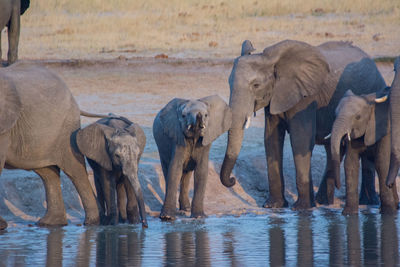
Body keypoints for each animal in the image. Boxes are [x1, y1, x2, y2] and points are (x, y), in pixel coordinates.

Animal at [219, 40, 388, 209]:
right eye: (228, 83)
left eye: (256, 85)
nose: (232, 180)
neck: (273, 61)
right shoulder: (275, 97)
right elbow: (271, 140)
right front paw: (273, 206)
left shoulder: (306, 98)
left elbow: (301, 140)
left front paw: (302, 208)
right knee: (333, 150)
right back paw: (323, 202)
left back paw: (367, 203)